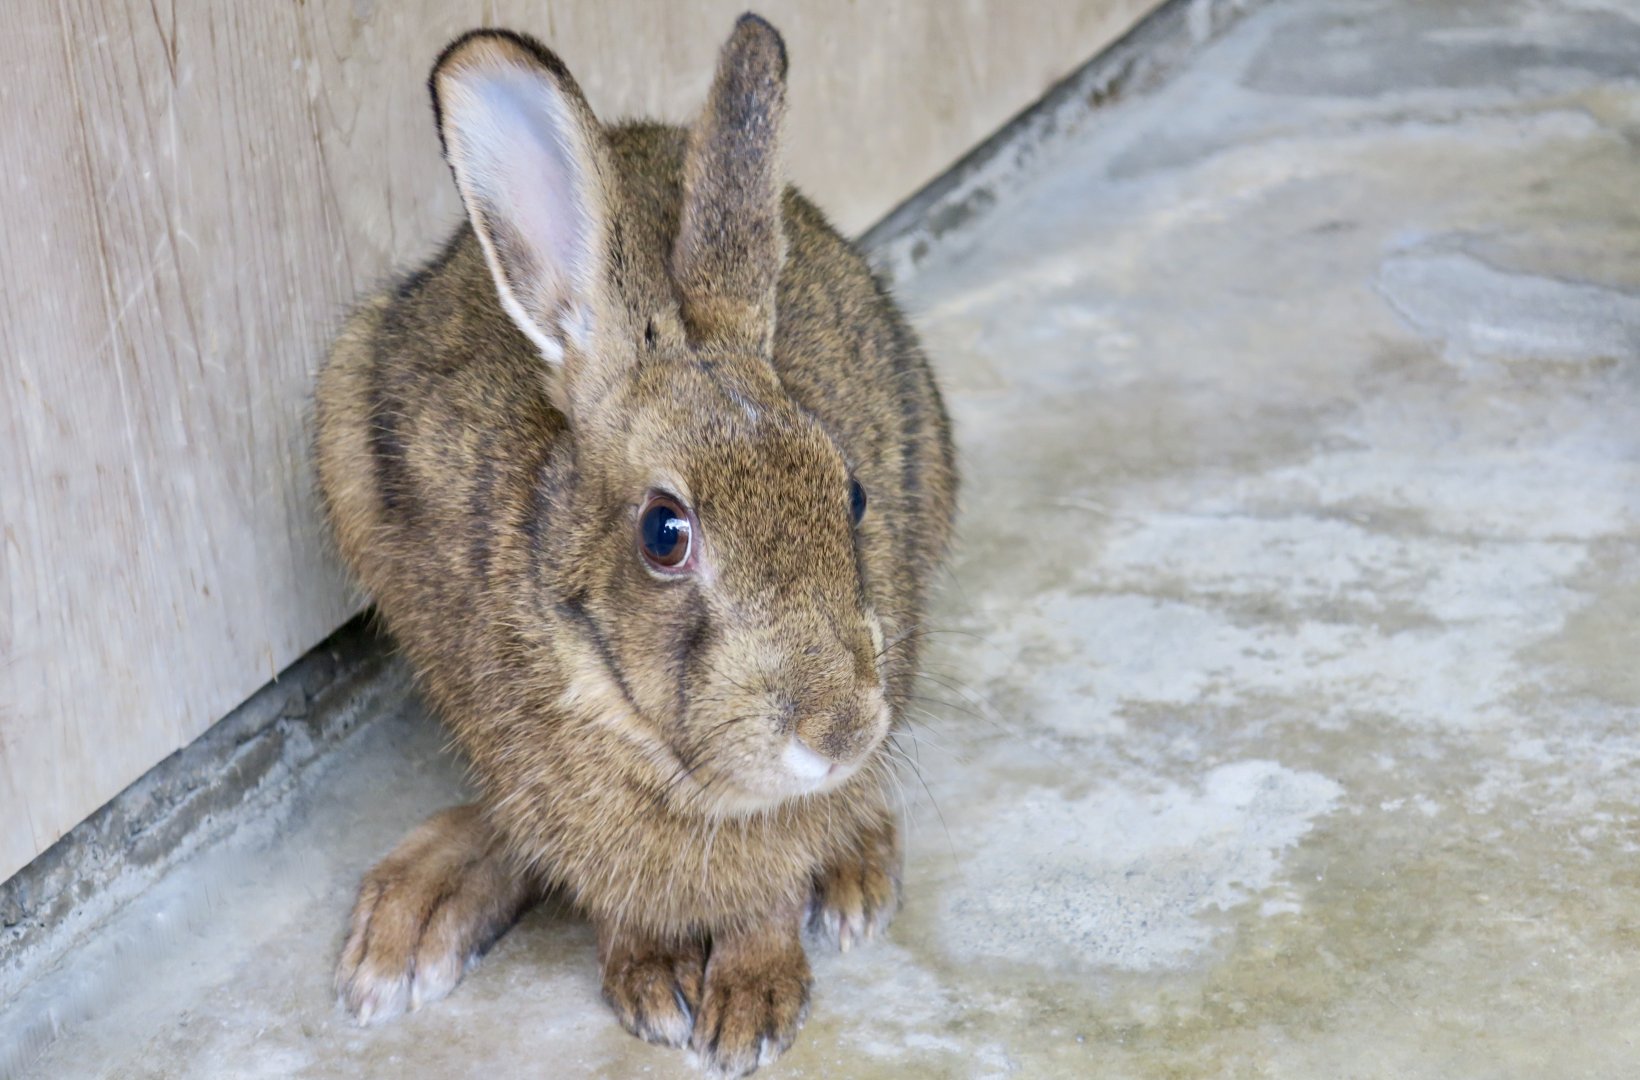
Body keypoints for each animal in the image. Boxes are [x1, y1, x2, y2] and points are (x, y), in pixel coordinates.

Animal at [314, 13, 956, 1077]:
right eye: (665, 534)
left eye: (853, 493)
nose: (839, 733)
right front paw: (654, 984)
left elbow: (769, 886)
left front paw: (751, 1002)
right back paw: (413, 917)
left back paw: (857, 875)